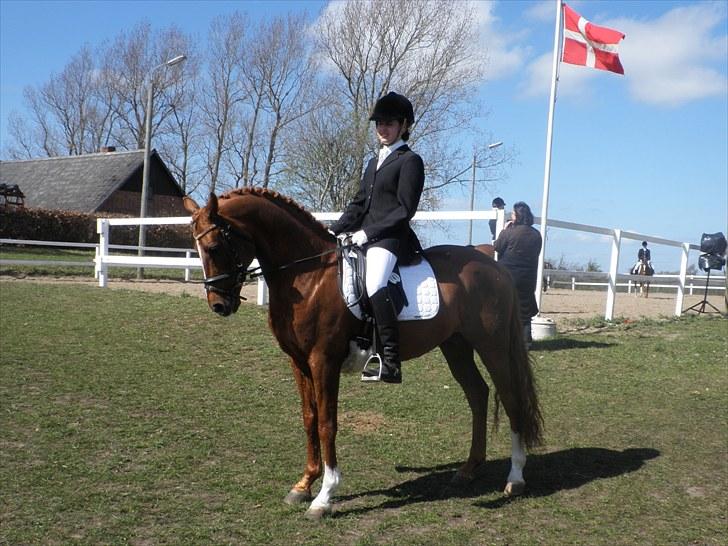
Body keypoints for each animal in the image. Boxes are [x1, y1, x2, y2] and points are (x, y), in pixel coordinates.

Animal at [184, 188, 543, 519]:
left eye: (214, 247)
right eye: (197, 248)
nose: (219, 305)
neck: (309, 275)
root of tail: (493, 264)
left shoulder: (323, 361)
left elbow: (327, 423)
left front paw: (324, 496)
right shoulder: (298, 362)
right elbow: (309, 419)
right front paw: (303, 485)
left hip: (492, 346)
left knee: (510, 399)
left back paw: (515, 478)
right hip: (455, 345)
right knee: (478, 394)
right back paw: (469, 469)